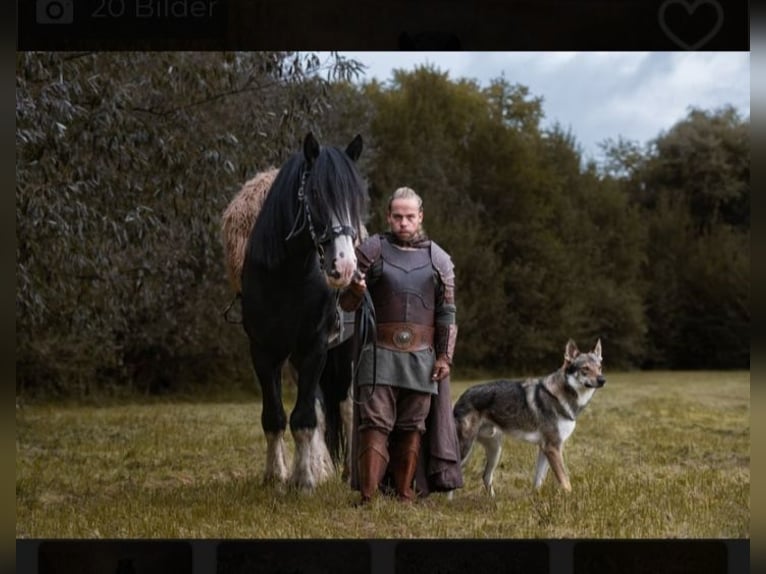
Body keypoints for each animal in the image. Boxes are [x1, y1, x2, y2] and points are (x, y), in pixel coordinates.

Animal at [243, 133, 368, 492]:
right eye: (316, 195)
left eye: (356, 198)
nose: (346, 267)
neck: (287, 277)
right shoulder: (263, 351)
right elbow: (274, 416)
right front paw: (275, 476)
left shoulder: (315, 348)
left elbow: (304, 418)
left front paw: (303, 480)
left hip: (345, 351)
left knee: (346, 406)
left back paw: (349, 472)